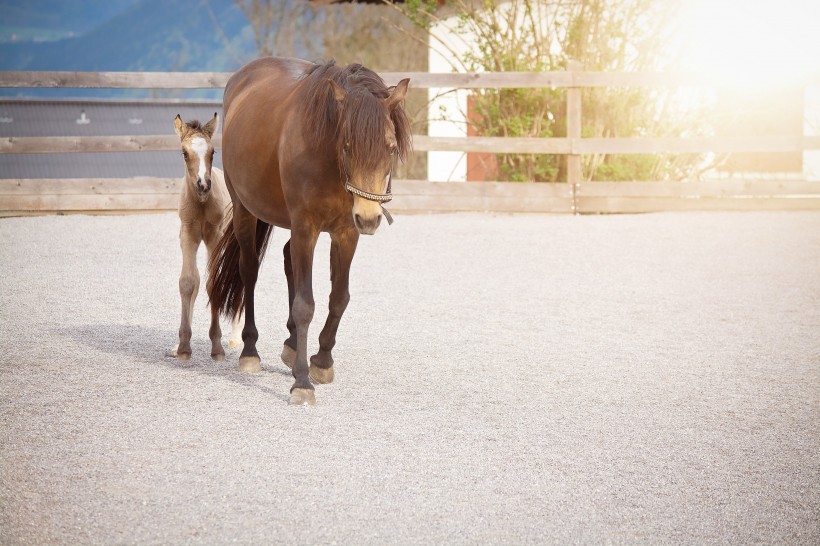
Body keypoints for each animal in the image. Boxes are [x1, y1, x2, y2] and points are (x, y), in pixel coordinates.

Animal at [168, 113, 242, 362]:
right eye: (184, 152)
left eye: (213, 152)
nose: (203, 185)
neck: (201, 205)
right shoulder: (188, 235)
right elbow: (189, 282)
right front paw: (182, 347)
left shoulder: (214, 237)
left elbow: (214, 283)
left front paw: (217, 347)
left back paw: (235, 338)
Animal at [205, 57, 410, 404]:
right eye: (348, 146)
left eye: (391, 148)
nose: (369, 218)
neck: (328, 158)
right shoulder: (306, 228)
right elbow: (305, 305)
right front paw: (302, 382)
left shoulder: (346, 233)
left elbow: (339, 298)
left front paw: (322, 361)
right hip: (247, 211)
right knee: (250, 271)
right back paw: (250, 351)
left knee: (289, 260)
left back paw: (290, 346)